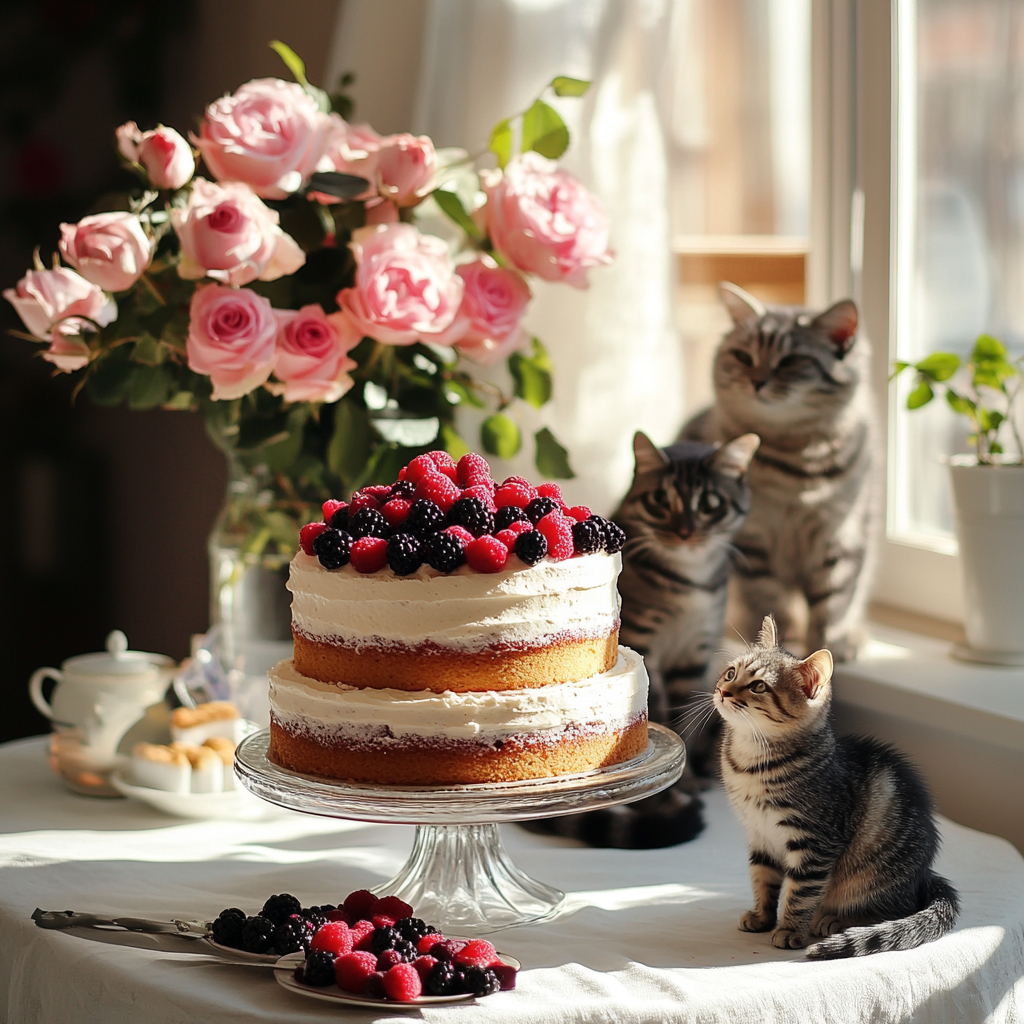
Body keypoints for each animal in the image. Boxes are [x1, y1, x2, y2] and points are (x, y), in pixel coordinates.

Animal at [684, 284, 876, 659]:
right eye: (743, 357)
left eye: (790, 361)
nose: (757, 382)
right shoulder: (755, 542)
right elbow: (770, 600)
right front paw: (776, 645)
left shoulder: (840, 534)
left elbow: (834, 602)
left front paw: (831, 645)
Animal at [712, 614, 958, 958]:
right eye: (731, 672)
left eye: (758, 686)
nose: (722, 690)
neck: (750, 762)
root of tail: (924, 877)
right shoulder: (759, 835)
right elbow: (762, 878)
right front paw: (761, 916)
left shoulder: (817, 842)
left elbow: (800, 893)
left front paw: (789, 929)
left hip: (872, 877)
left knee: (896, 909)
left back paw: (834, 920)